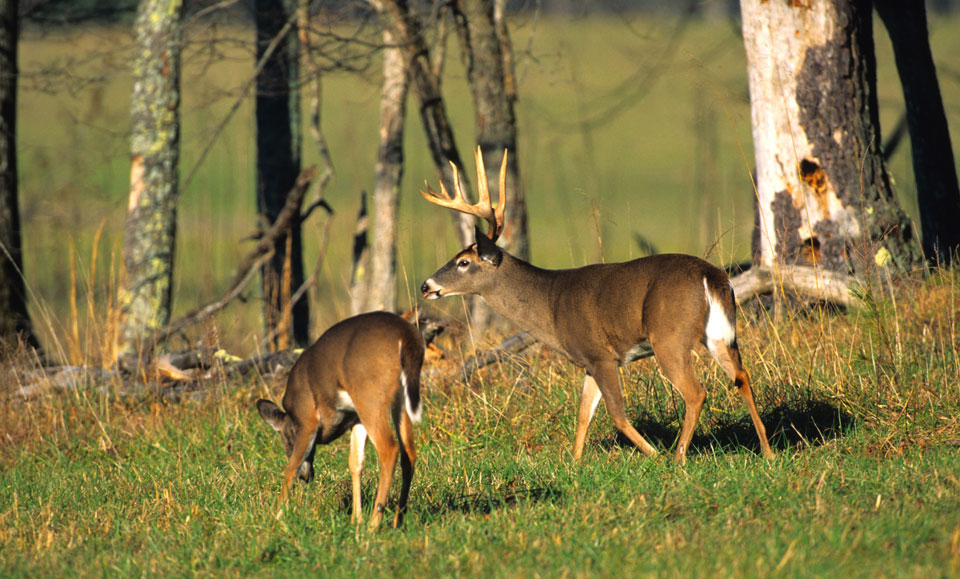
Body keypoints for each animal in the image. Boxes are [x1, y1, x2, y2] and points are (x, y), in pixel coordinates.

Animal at [255, 312, 424, 532]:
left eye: (287, 442)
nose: (306, 477)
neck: (293, 416)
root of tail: (406, 336)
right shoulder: (356, 419)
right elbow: (355, 462)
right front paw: (355, 520)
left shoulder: (307, 419)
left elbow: (291, 467)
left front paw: (275, 518)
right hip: (399, 400)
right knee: (408, 451)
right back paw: (397, 521)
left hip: (369, 396)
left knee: (389, 448)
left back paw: (374, 524)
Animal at [418, 148, 772, 462]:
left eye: (463, 262)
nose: (426, 286)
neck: (550, 304)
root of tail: (711, 276)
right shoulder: (588, 361)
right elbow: (583, 413)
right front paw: (574, 465)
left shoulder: (602, 355)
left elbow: (616, 414)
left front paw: (653, 454)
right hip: (719, 334)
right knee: (742, 376)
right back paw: (767, 452)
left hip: (669, 337)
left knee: (696, 393)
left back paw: (677, 458)